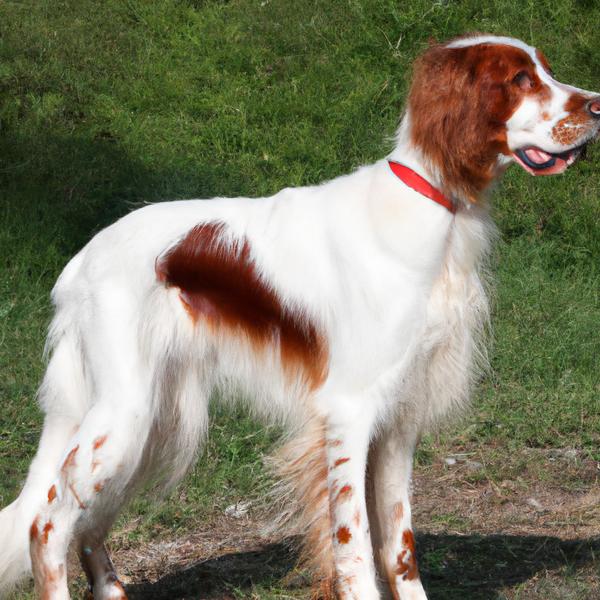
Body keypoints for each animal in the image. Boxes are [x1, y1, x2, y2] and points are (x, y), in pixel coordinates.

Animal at [1, 34, 600, 600]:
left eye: (545, 69)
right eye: (520, 79)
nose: (597, 106)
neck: (434, 207)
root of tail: (80, 260)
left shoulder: (400, 420)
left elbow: (399, 546)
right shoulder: (349, 411)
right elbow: (354, 545)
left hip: (151, 421)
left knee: (88, 524)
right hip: (124, 414)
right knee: (46, 524)